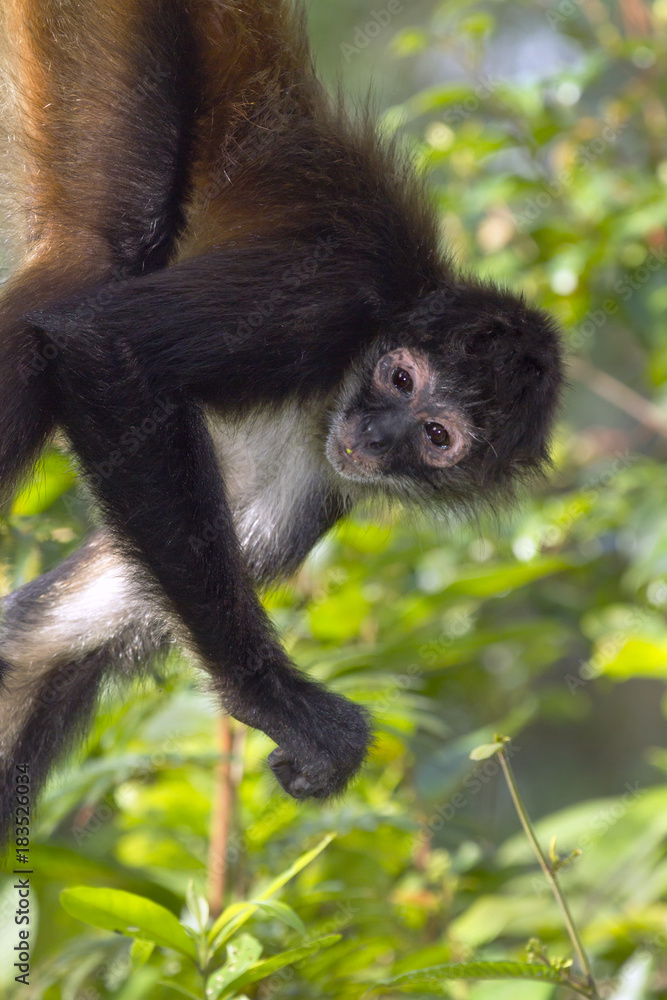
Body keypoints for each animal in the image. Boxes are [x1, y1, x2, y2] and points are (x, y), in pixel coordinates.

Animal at [0, 0, 563, 846]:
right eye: (399, 378)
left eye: (436, 436)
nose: (374, 437)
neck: (330, 389)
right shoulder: (330, 293)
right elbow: (102, 347)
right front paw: (276, 704)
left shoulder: (317, 478)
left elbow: (44, 642)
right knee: (103, 250)